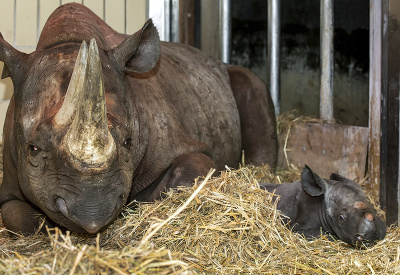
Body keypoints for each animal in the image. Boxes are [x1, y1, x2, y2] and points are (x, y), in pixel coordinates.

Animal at [0, 3, 276, 234]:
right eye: (33, 149)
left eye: (128, 142)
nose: (92, 215)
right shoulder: (11, 185)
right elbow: (20, 217)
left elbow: (189, 172)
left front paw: (138, 203)